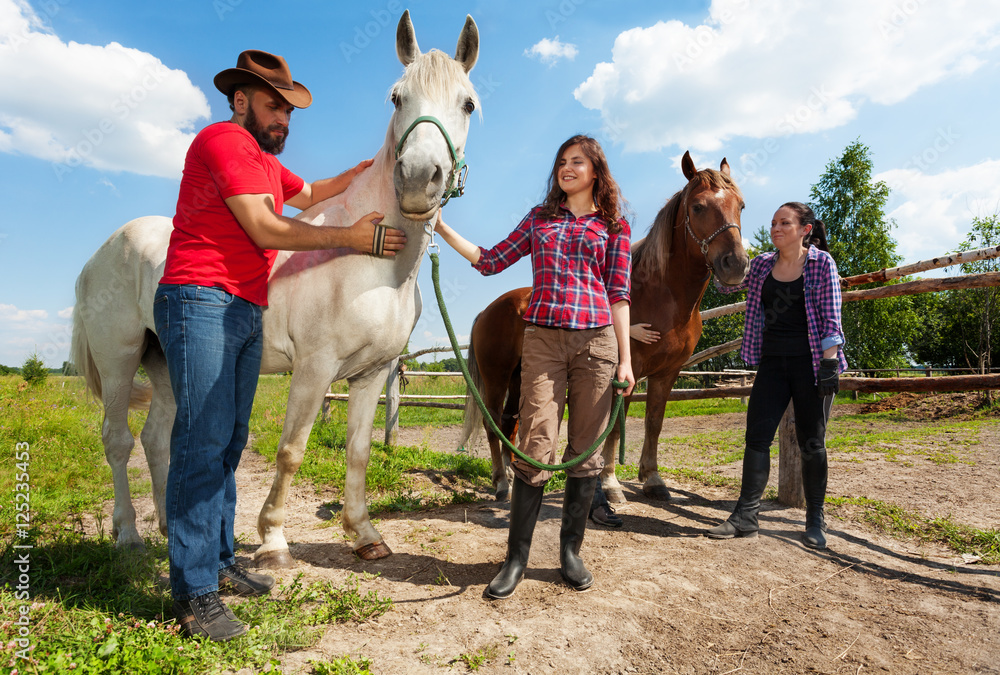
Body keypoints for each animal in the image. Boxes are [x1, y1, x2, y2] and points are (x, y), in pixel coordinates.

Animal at [71, 13, 480, 568]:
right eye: (397, 98)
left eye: (468, 103)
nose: (419, 179)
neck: (376, 268)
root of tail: (102, 253)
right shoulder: (314, 368)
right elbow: (291, 451)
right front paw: (273, 541)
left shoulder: (371, 374)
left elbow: (359, 452)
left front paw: (364, 534)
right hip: (118, 359)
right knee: (117, 440)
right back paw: (130, 535)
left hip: (169, 364)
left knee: (157, 440)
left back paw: (166, 529)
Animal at [458, 152, 748, 502]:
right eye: (698, 207)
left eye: (741, 205)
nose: (736, 264)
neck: (662, 295)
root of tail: (486, 311)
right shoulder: (625, 373)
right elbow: (613, 427)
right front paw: (609, 483)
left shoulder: (667, 373)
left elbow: (654, 422)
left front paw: (653, 479)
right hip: (496, 377)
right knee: (492, 425)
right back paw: (501, 482)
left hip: (519, 377)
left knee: (509, 423)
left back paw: (513, 475)